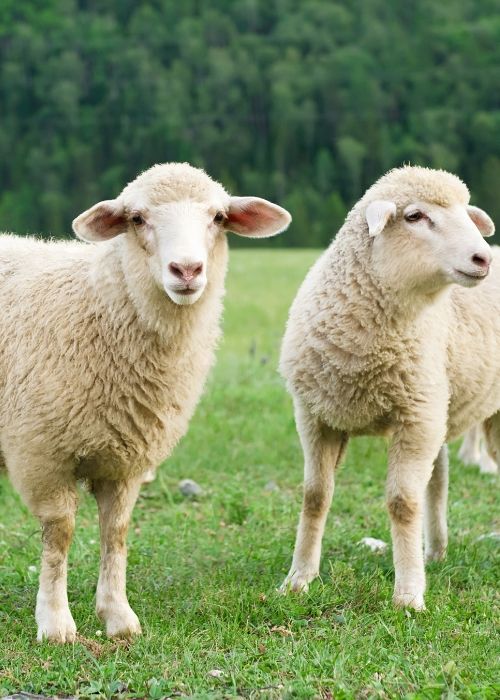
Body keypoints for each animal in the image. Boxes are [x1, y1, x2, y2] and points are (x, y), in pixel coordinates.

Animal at [0, 162, 291, 642]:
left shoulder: (127, 459)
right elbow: (59, 535)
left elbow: (115, 532)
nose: (187, 270)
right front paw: (56, 623)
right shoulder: (41, 453)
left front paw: (118, 617)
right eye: (137, 219)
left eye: (218, 217)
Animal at [279, 166, 496, 611]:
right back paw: (435, 552)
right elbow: (315, 495)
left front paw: (409, 595)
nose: (483, 257)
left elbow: (402, 503)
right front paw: (299, 579)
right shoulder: (315, 416)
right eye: (415, 216)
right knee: (439, 478)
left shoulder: (416, 418)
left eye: (467, 213)